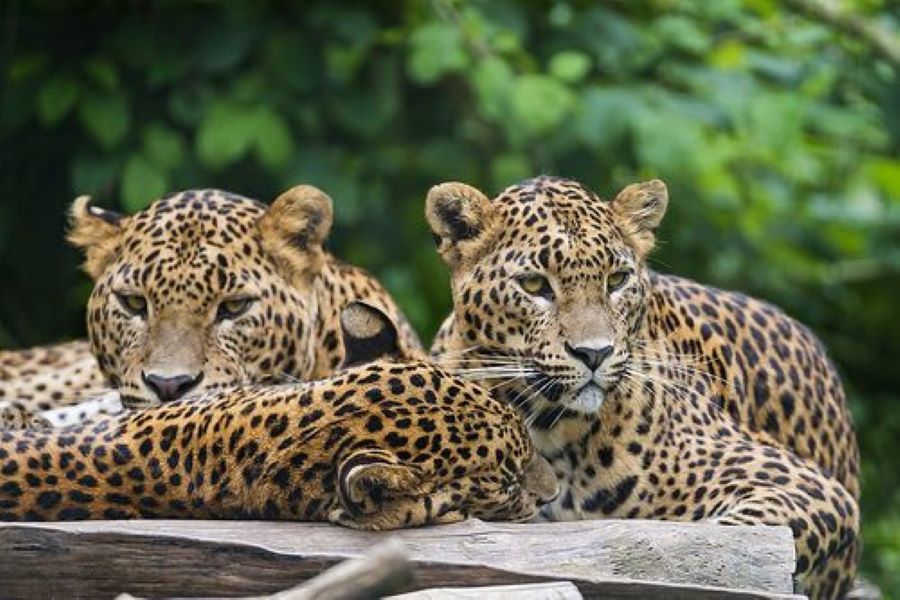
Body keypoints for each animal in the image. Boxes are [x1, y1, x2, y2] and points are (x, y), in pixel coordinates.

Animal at [426, 176, 859, 599]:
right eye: (534, 285)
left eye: (616, 280)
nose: (594, 353)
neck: (549, 427)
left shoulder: (810, 485)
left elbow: (733, 544)